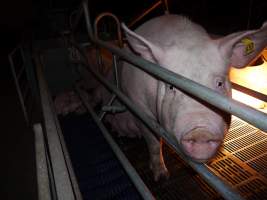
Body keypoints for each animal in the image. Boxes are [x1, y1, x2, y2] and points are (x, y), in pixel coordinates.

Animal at [92, 14, 267, 180]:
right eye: (171, 86)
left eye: (219, 83)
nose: (200, 132)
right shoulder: (138, 105)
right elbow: (153, 142)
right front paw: (162, 176)